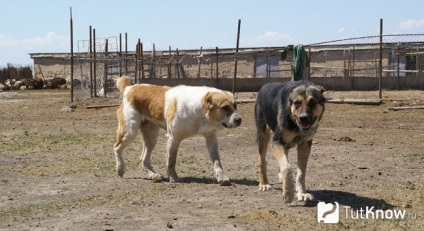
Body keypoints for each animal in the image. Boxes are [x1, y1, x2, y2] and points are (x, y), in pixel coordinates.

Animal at [113, 76, 242, 186]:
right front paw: (173, 177)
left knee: (144, 159)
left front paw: (222, 177)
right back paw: (120, 169)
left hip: (151, 137)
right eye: (225, 108)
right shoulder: (173, 139)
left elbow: (217, 161)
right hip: (129, 131)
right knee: (117, 147)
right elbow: (171, 161)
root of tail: (129, 88)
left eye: (235, 105)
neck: (199, 112)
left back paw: (153, 175)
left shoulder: (211, 138)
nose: (239, 120)